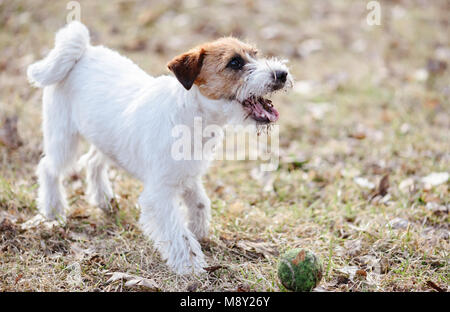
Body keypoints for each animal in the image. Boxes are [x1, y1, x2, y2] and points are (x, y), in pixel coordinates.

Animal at [29, 21, 296, 272]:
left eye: (255, 54)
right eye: (235, 62)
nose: (281, 73)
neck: (193, 117)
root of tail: (82, 52)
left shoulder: (188, 175)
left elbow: (200, 203)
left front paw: (199, 231)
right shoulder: (159, 195)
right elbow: (178, 234)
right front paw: (191, 266)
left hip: (105, 138)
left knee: (93, 161)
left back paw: (104, 201)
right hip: (63, 139)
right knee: (49, 168)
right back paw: (53, 211)